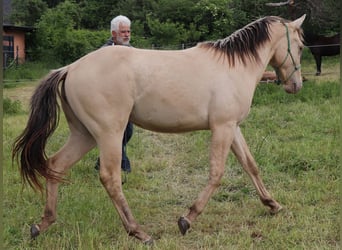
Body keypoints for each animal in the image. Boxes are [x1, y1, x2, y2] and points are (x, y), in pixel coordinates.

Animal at [12, 14, 306, 244]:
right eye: (301, 46)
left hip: (84, 135)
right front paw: (187, 219)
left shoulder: (233, 128)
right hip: (109, 134)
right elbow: (216, 173)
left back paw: (42, 224)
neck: (233, 66)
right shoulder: (222, 127)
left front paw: (272, 204)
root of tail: (70, 68)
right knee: (109, 177)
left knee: (56, 165)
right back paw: (138, 232)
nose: (296, 85)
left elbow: (250, 166)